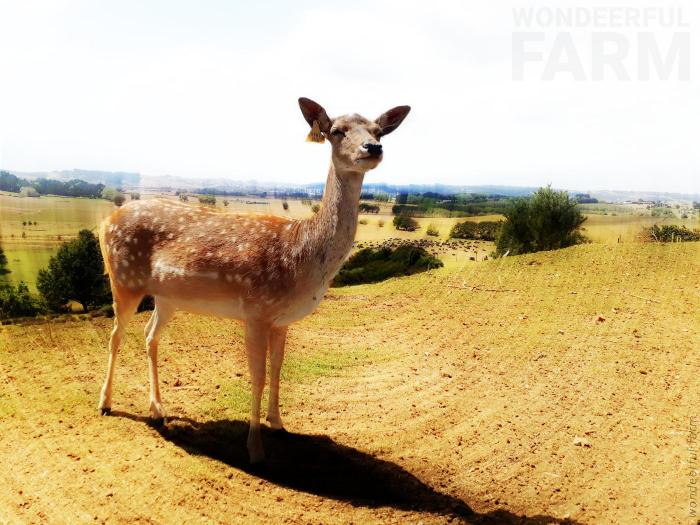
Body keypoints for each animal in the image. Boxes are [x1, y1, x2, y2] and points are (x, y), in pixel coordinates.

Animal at [96, 98, 411, 463]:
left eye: (378, 130)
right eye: (336, 130)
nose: (372, 147)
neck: (300, 257)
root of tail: (105, 223)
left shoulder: (282, 320)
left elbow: (277, 370)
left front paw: (279, 424)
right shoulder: (256, 310)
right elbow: (257, 376)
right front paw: (255, 449)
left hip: (167, 297)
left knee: (149, 336)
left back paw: (158, 410)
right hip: (123, 279)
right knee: (115, 336)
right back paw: (105, 404)